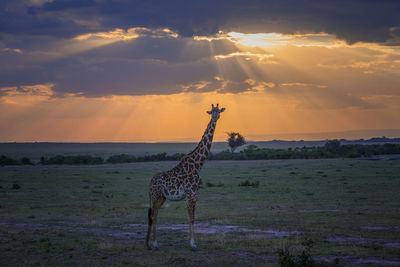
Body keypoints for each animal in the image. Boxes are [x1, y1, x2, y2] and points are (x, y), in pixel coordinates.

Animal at [145, 103, 227, 252]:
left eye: (219, 111)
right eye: (212, 111)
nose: (215, 116)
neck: (198, 164)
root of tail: (150, 182)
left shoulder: (195, 194)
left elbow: (193, 218)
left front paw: (194, 243)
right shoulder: (190, 194)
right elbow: (191, 218)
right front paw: (193, 244)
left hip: (161, 197)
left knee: (154, 214)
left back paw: (149, 244)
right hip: (155, 195)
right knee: (153, 215)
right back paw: (155, 244)